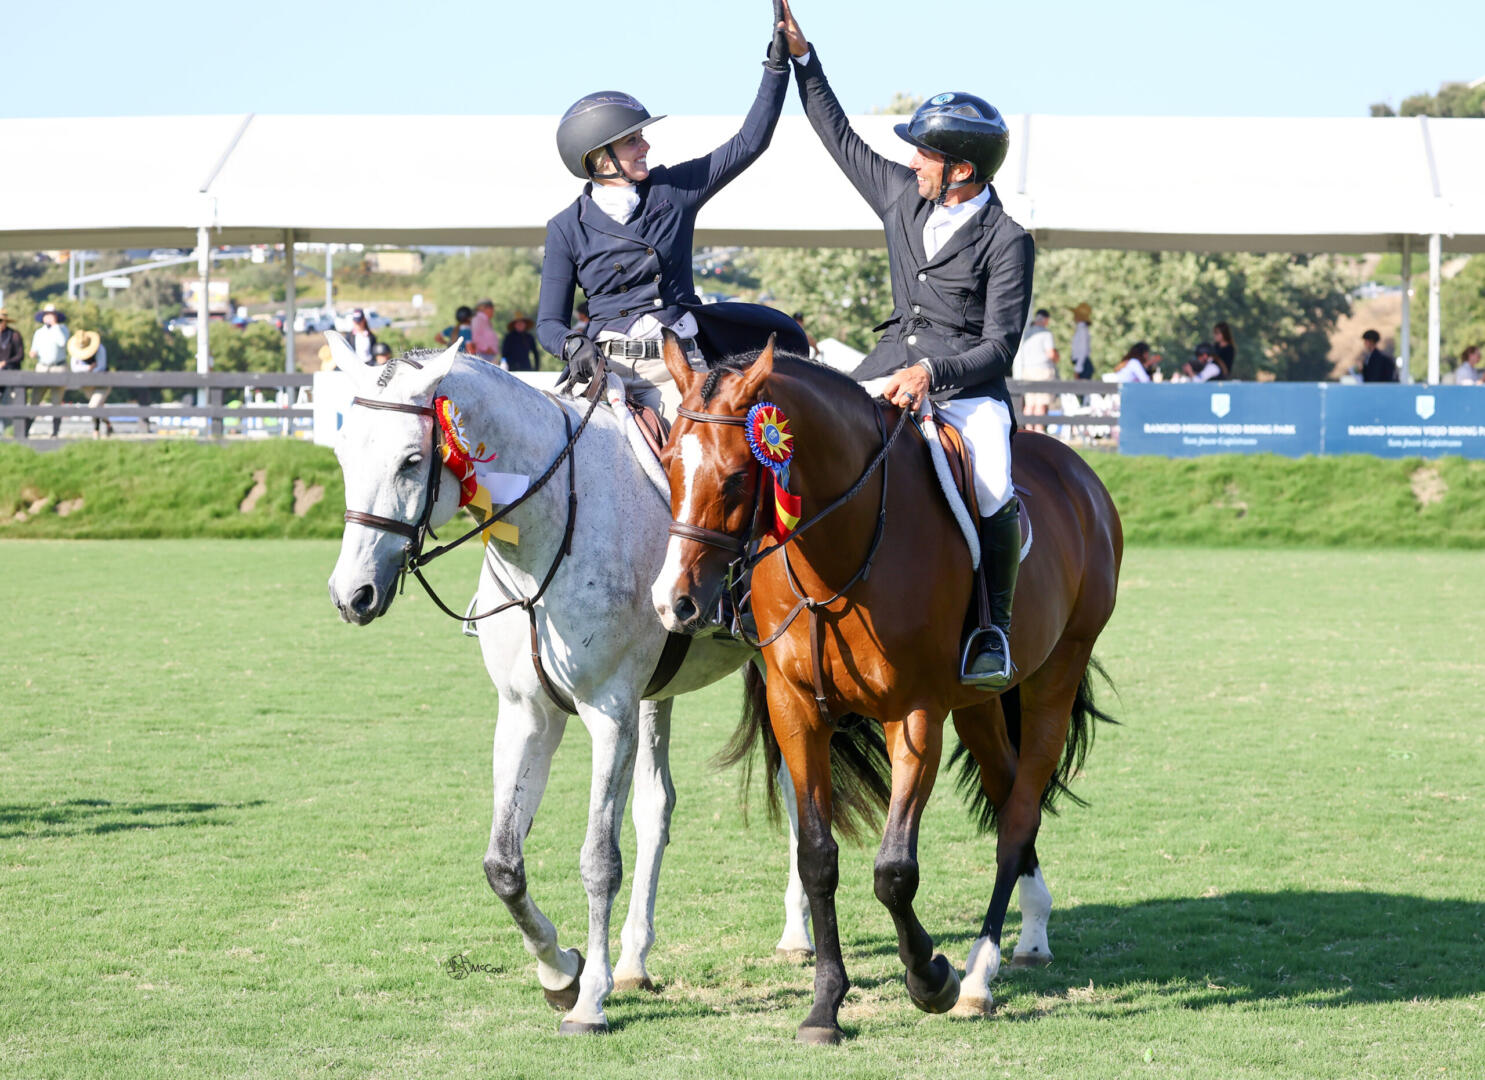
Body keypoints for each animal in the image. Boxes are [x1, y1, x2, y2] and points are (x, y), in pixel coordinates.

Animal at [326, 335, 891, 1028]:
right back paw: (635, 960)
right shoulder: (527, 713)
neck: (550, 529)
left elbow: (599, 860)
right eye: (343, 453)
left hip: (770, 673)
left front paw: (588, 998)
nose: (352, 594)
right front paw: (560, 970)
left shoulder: (608, 713)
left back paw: (793, 935)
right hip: (663, 699)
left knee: (792, 790)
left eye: (411, 461)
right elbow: (503, 864)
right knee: (659, 807)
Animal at [656, 334, 1116, 1045]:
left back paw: (978, 977)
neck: (839, 546)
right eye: (670, 464)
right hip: (980, 704)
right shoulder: (795, 710)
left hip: (1056, 675)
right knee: (1007, 788)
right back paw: (1032, 932)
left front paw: (931, 977)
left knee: (1019, 813)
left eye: (735, 476)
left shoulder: (916, 714)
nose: (674, 603)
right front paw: (825, 1007)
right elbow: (817, 858)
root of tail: (1077, 471)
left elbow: (894, 871)